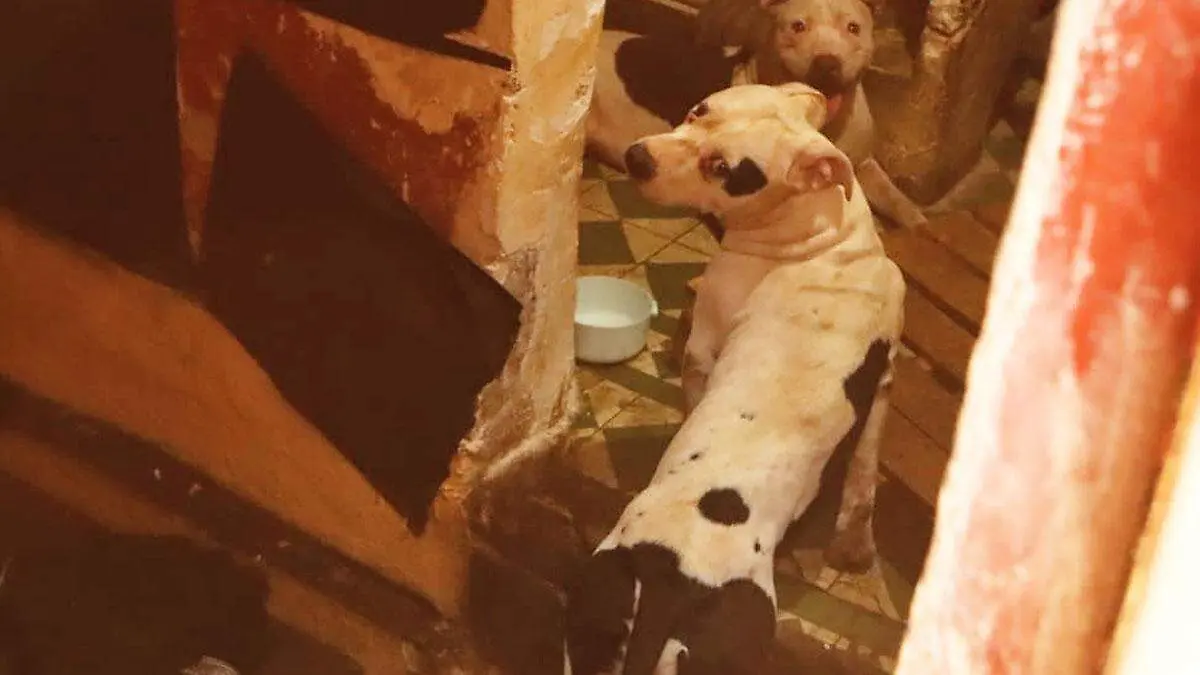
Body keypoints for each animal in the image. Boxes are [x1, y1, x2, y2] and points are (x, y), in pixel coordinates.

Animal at [565, 83, 905, 675]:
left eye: (723, 168)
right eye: (700, 109)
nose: (638, 156)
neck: (825, 238)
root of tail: (669, 581)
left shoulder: (703, 344)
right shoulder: (884, 378)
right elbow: (864, 472)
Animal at [587, 0, 928, 231]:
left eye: (853, 28)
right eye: (797, 26)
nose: (827, 63)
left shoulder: (865, 162)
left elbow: (894, 195)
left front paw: (918, 223)